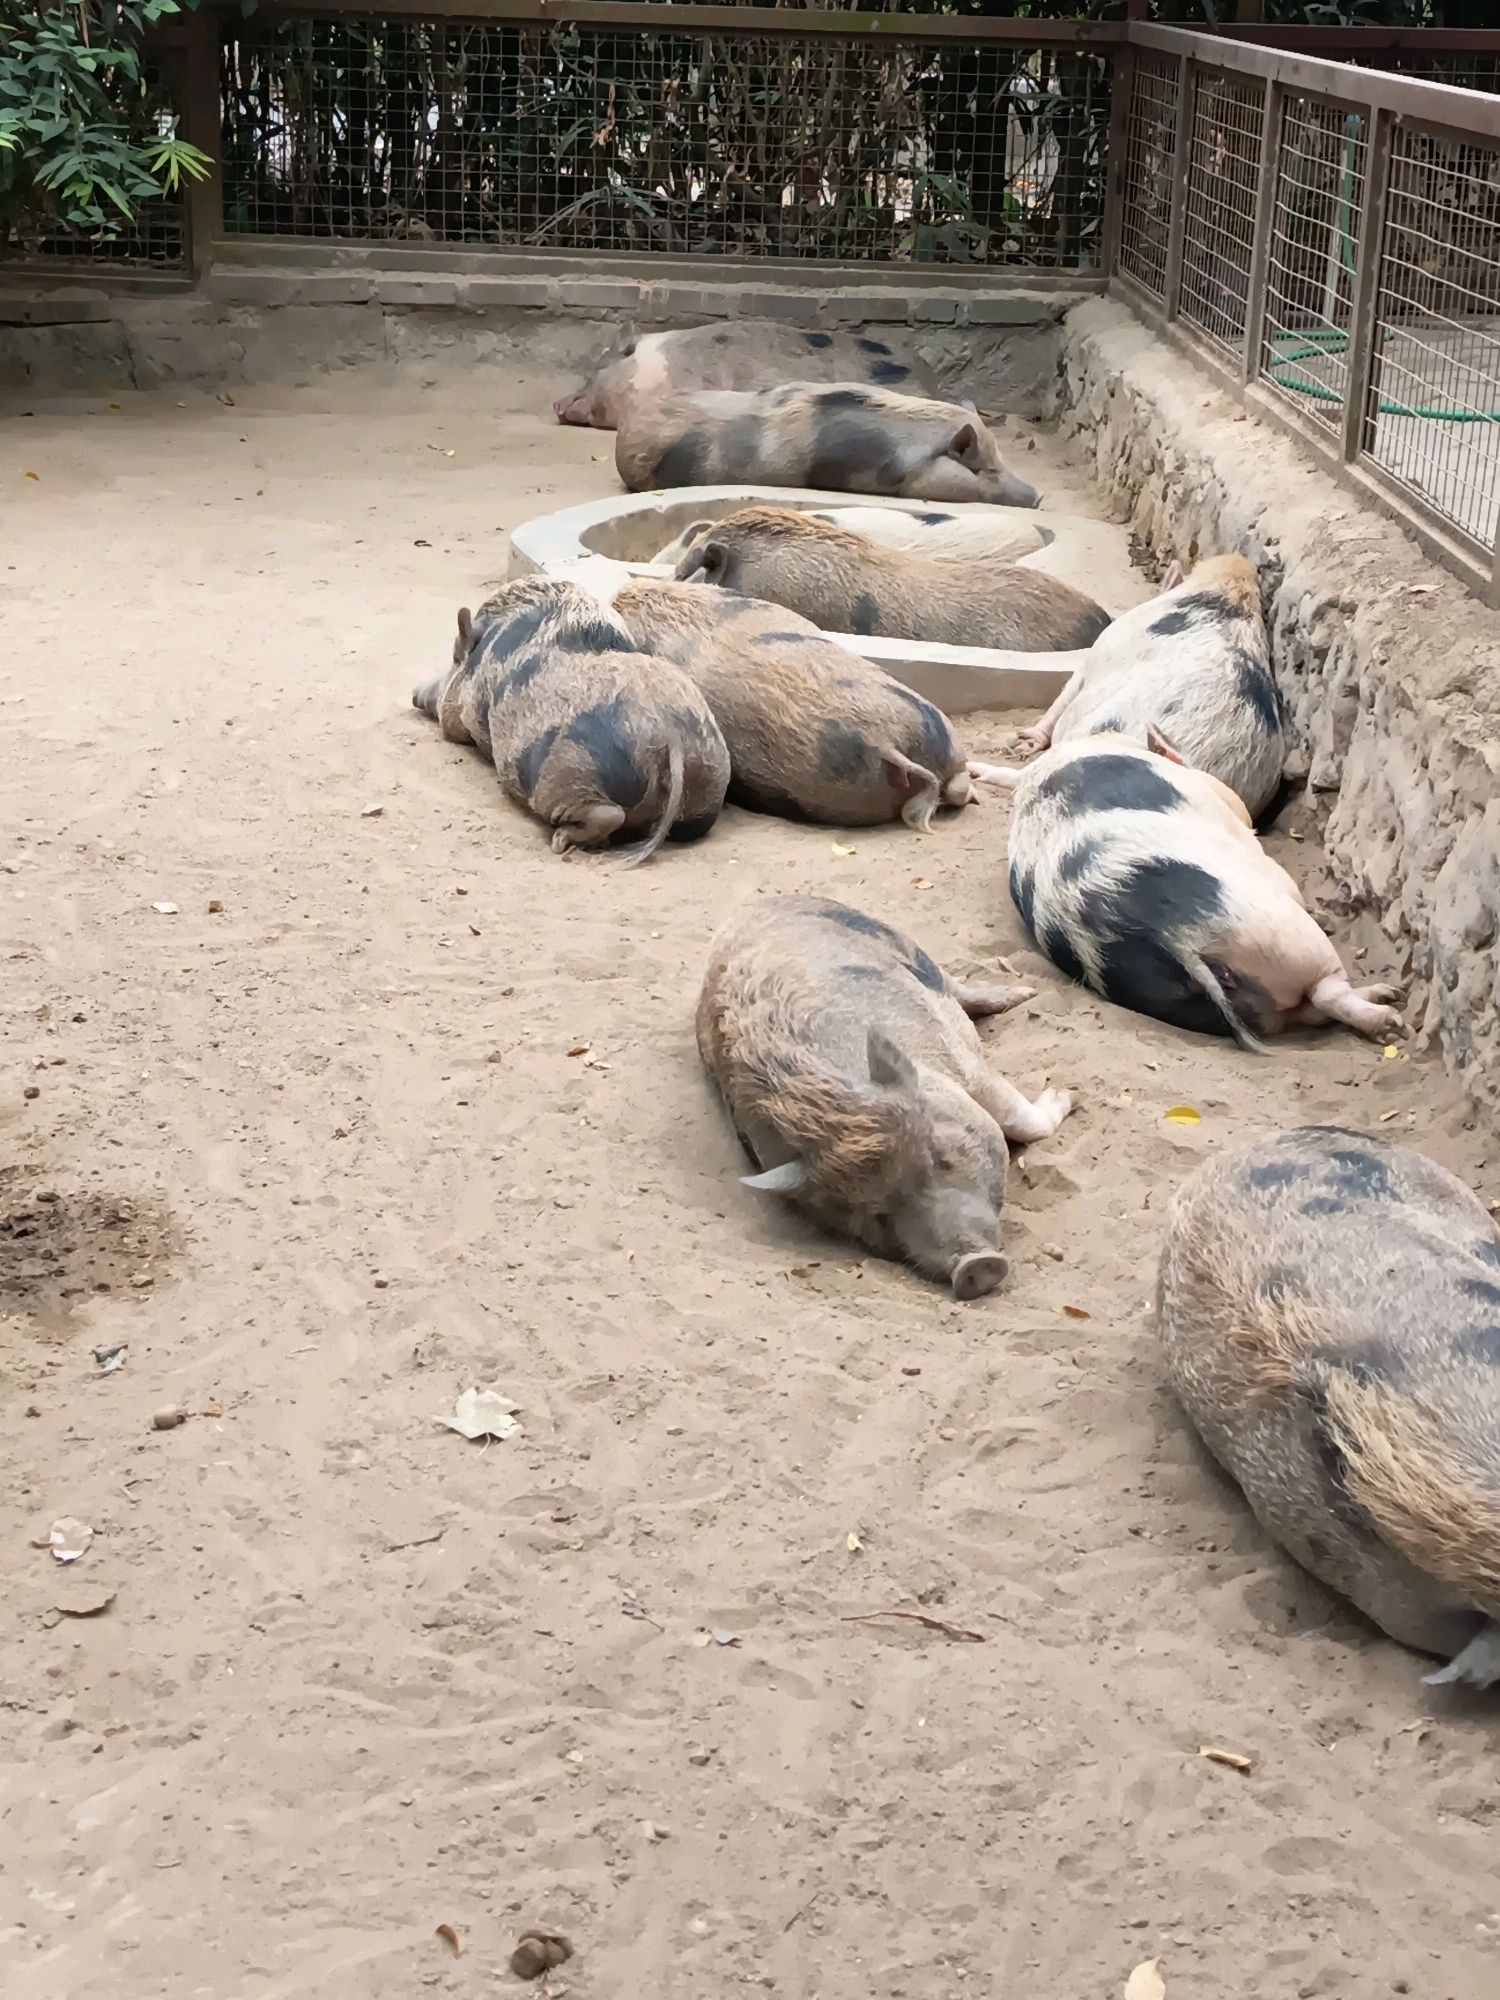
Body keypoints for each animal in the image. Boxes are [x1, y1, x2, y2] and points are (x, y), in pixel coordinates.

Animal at [412, 576, 729, 863]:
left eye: (455, 659)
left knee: (606, 814)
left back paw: (561, 841)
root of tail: (672, 738)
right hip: (708, 790)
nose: (415, 694)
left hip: (563, 774)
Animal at [697, 894, 1073, 1298]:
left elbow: (1020, 1120)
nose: (974, 1267)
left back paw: (1023, 994)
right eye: (876, 1214)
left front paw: (1067, 1093)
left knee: (955, 985)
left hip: (906, 945)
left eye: (940, 1157)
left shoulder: (967, 1068)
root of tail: (763, 902)